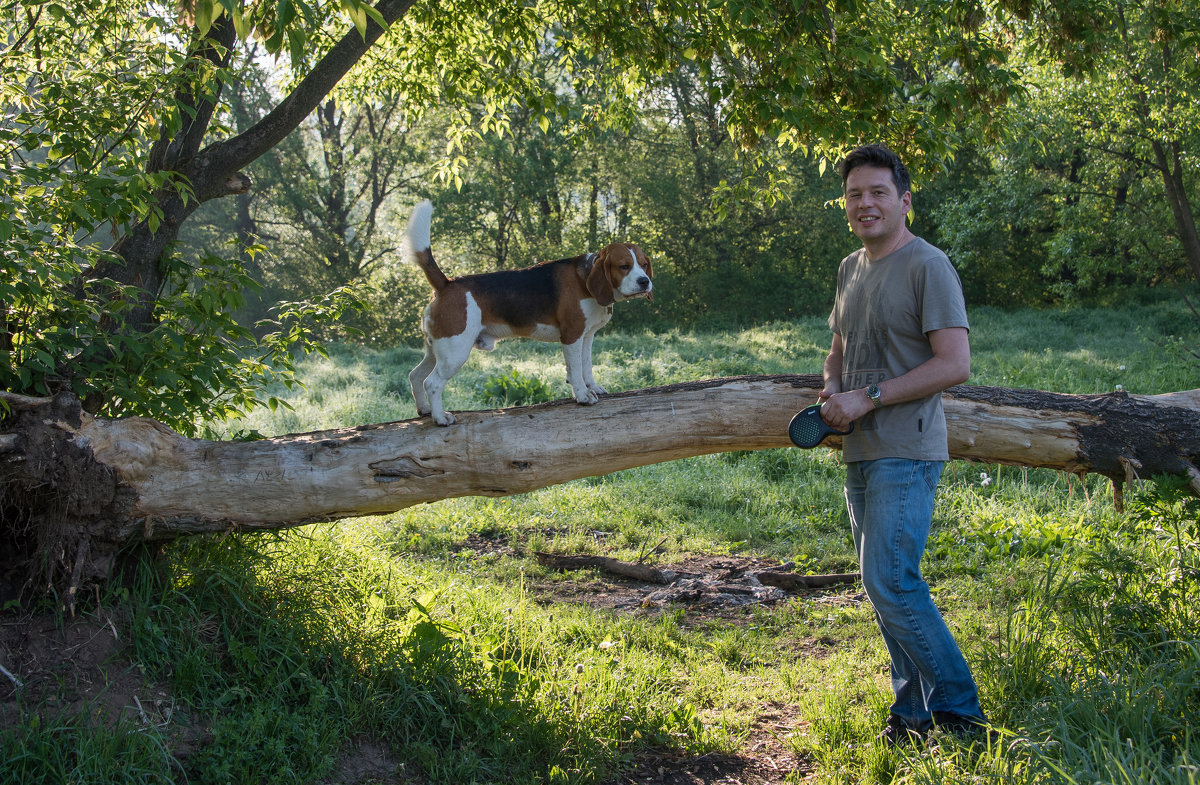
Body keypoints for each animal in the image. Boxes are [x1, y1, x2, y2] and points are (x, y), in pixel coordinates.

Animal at [403, 200, 652, 427]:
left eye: (643, 264)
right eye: (624, 266)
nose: (645, 281)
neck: (586, 277)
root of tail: (447, 283)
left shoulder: (587, 336)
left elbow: (586, 366)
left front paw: (593, 387)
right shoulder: (572, 336)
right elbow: (575, 370)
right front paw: (582, 395)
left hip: (437, 350)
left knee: (415, 376)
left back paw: (425, 410)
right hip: (455, 350)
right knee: (432, 383)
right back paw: (440, 418)